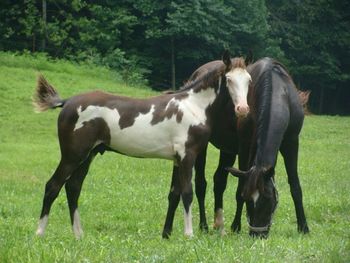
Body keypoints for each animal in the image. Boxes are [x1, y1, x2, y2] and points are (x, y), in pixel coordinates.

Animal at [32, 51, 252, 239]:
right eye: (229, 79)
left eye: (249, 80)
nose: (242, 109)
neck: (193, 106)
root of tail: (67, 101)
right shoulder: (187, 156)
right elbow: (187, 193)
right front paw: (189, 234)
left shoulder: (177, 159)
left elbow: (175, 193)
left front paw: (167, 234)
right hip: (72, 155)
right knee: (52, 186)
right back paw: (40, 233)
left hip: (88, 155)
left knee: (73, 187)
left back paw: (78, 235)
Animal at [191, 57, 308, 237]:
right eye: (248, 200)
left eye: (269, 200)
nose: (257, 234)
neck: (278, 90)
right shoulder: (245, 145)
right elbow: (240, 185)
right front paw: (236, 226)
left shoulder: (291, 142)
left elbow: (295, 185)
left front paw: (303, 227)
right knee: (200, 184)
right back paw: (203, 226)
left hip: (228, 150)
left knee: (219, 181)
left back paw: (219, 225)